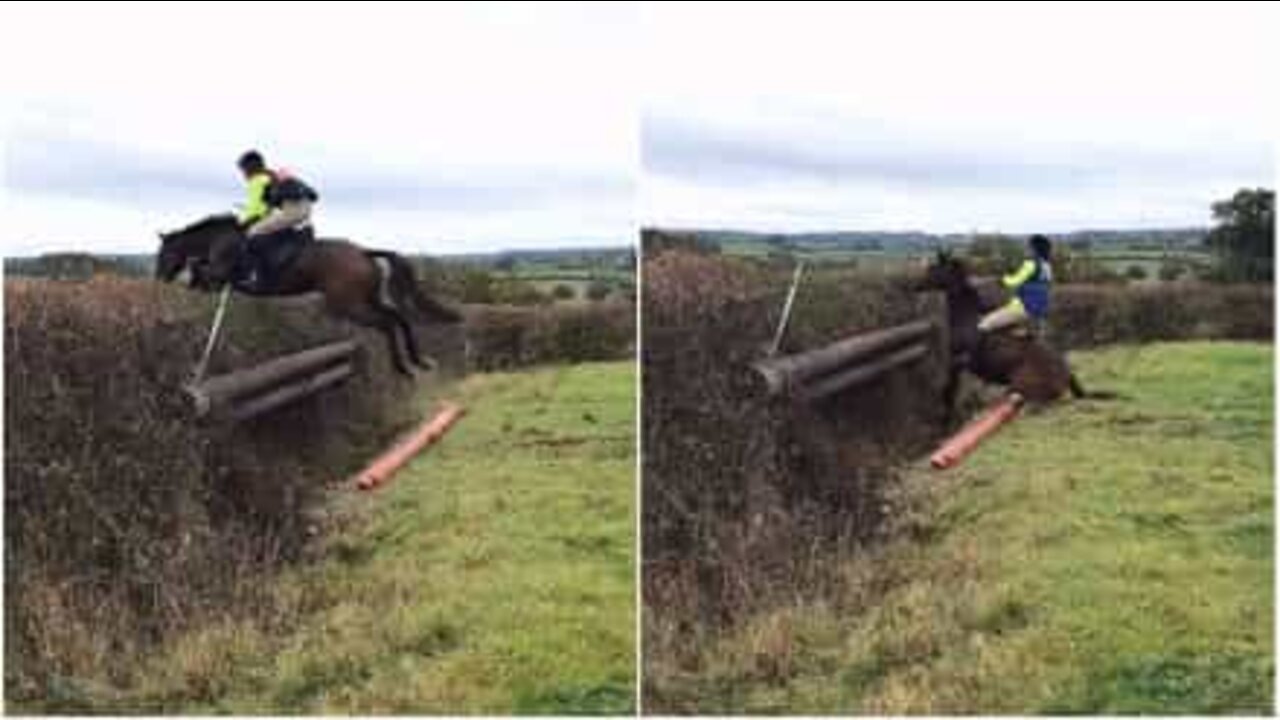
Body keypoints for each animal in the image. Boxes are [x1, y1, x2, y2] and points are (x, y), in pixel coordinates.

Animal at [155, 211, 463, 376]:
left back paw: (403, 368)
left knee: (386, 323)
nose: (158, 278)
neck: (219, 241)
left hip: (347, 305)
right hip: (365, 298)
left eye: (163, 254)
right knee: (399, 317)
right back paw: (418, 360)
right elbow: (199, 278)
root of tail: (363, 252)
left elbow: (200, 278)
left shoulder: (220, 277)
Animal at [911, 251, 1111, 422]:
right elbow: (948, 387)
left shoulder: (959, 362)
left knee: (1040, 401)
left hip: (1022, 384)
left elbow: (948, 388)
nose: (915, 285)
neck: (966, 320)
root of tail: (1066, 371)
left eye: (934, 269)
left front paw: (944, 416)